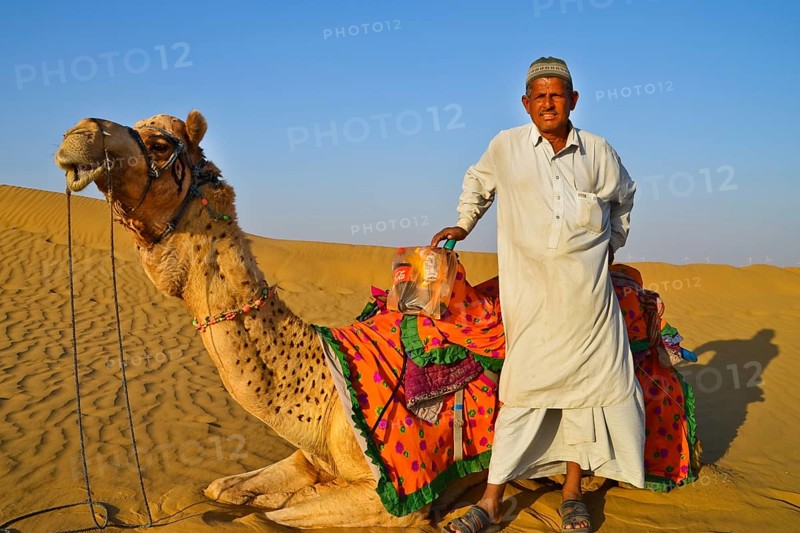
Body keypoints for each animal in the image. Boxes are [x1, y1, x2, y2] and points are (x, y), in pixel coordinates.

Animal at [54, 110, 481, 529]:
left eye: (158, 145)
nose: (80, 132)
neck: (327, 391)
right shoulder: (307, 456)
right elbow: (222, 489)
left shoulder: (395, 502)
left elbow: (270, 515)